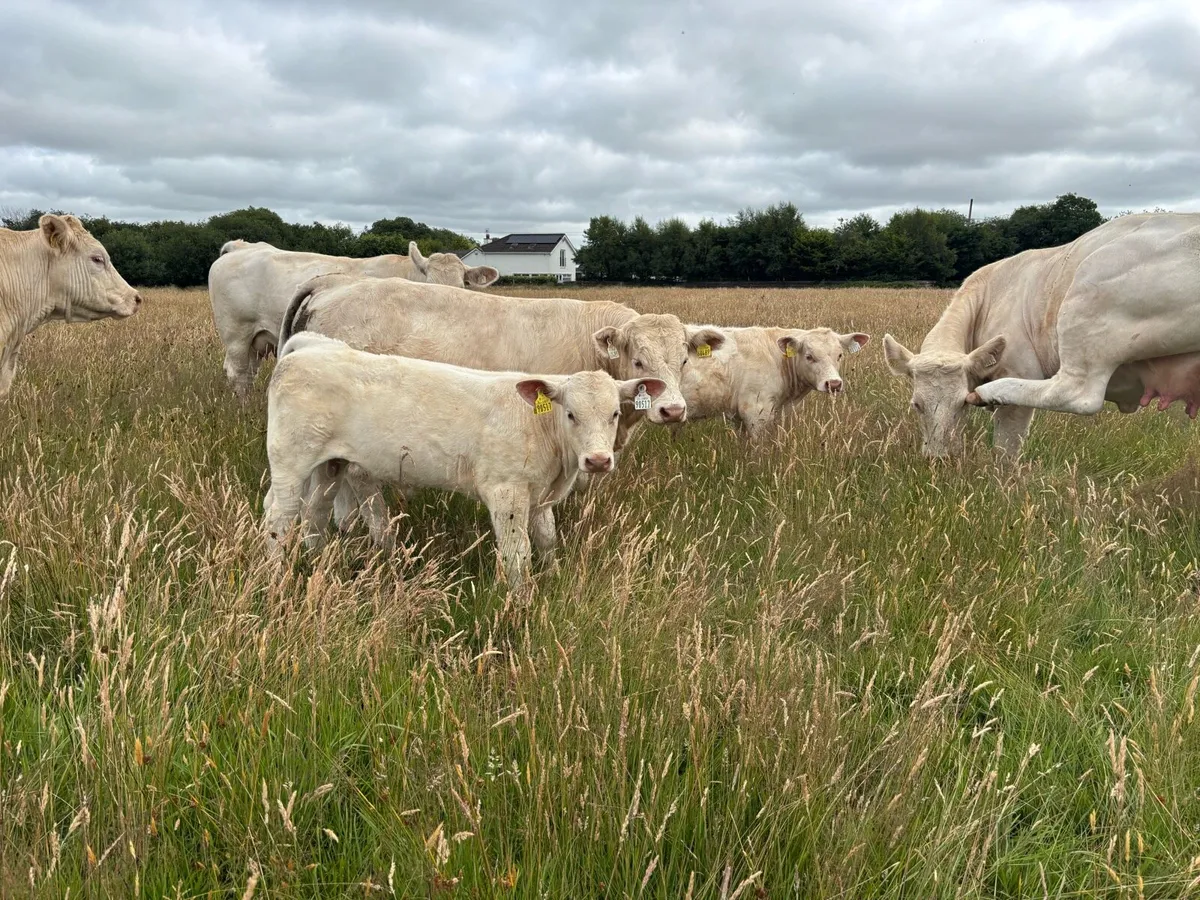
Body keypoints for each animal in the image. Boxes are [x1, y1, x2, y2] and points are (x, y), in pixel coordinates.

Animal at [207, 241, 499, 397]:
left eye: (463, 284)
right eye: (429, 282)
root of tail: (241, 246)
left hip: (257, 341)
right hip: (236, 334)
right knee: (238, 374)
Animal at [263, 331, 665, 585]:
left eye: (615, 413)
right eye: (570, 414)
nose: (597, 461)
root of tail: (310, 348)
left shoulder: (540, 498)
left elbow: (547, 540)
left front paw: (552, 579)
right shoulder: (506, 494)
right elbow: (518, 553)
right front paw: (521, 603)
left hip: (329, 464)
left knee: (314, 513)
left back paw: (318, 564)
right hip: (290, 461)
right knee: (279, 516)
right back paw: (275, 576)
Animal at [278, 273, 725, 538]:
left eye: (684, 361)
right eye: (638, 361)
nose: (673, 410)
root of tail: (335, 282)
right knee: (358, 480)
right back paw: (378, 536)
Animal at [883, 213, 1200, 460]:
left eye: (961, 403)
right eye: (916, 405)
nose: (939, 458)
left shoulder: (1020, 368)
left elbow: (1006, 449)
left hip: (1089, 297)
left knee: (1076, 393)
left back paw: (993, 391)